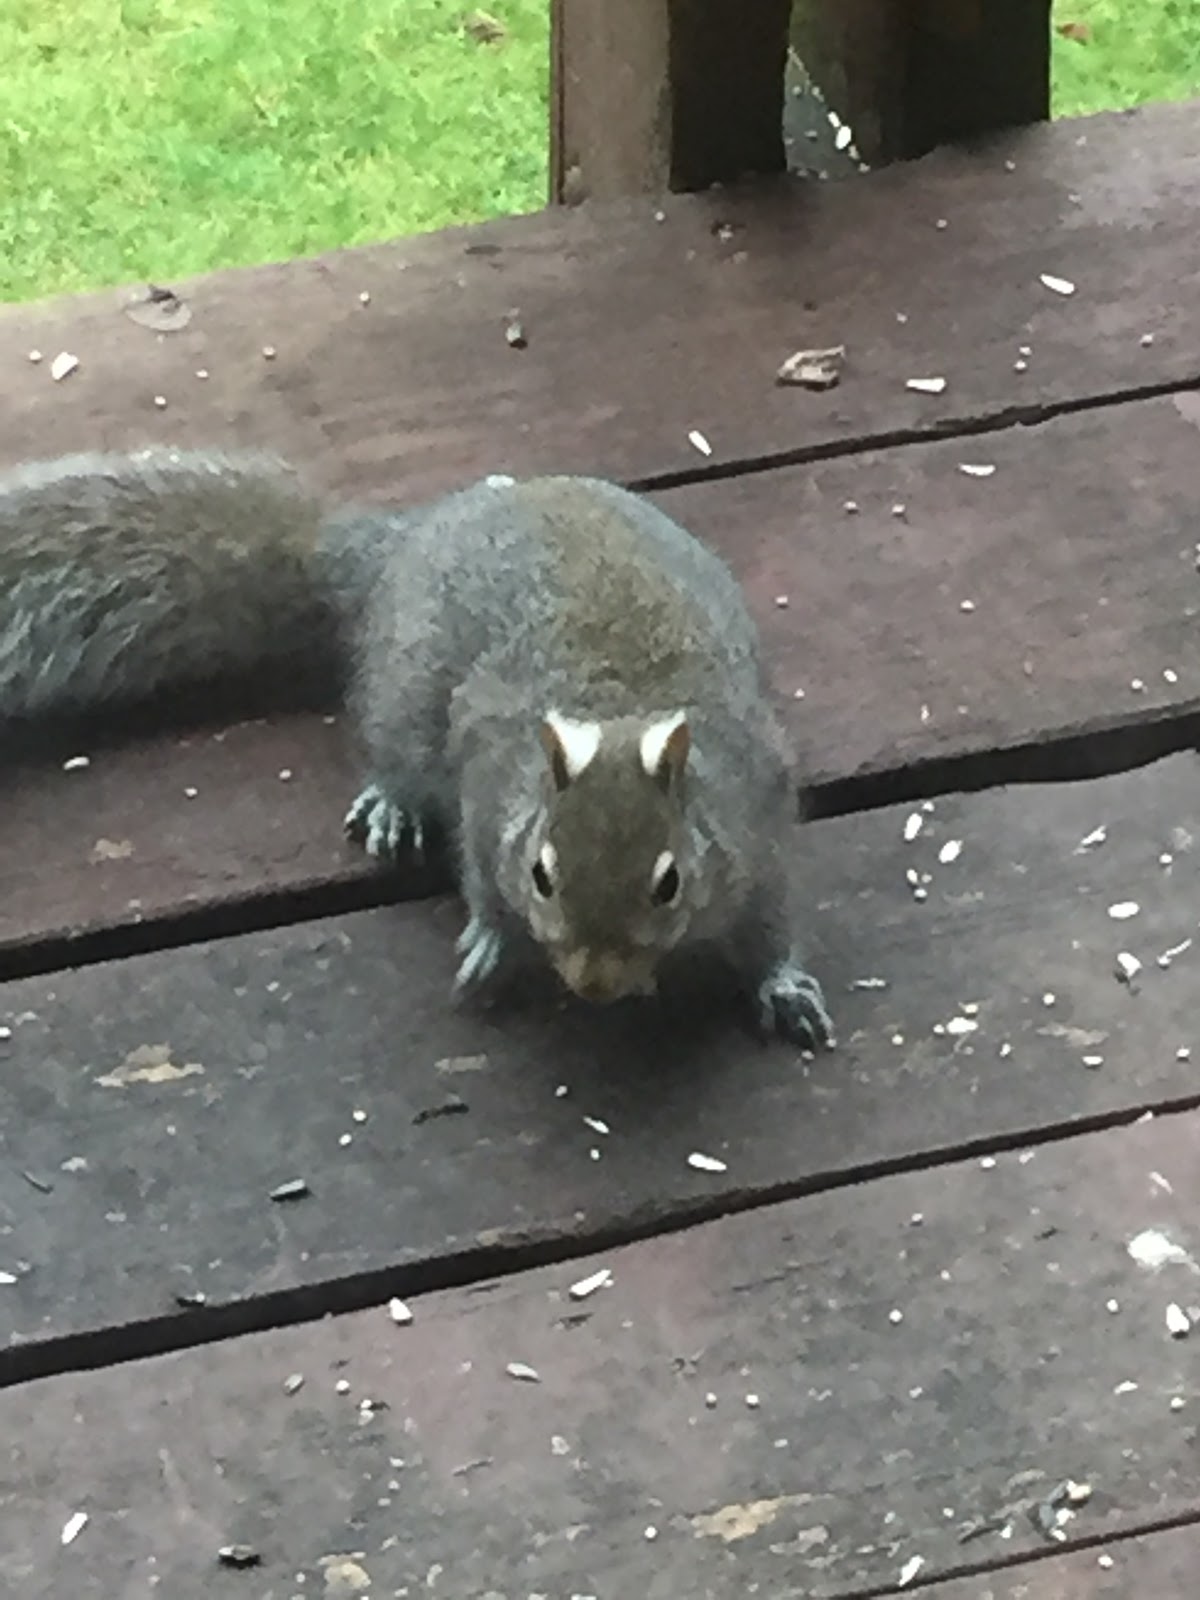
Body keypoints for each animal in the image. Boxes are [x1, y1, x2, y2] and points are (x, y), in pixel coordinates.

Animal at [0, 447, 833, 1049]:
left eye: (670, 883)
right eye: (541, 874)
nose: (594, 984)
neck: (617, 716)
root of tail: (402, 545)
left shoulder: (754, 824)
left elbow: (770, 922)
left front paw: (784, 987)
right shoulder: (487, 796)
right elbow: (480, 875)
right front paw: (492, 945)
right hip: (404, 695)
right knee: (395, 751)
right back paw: (393, 805)